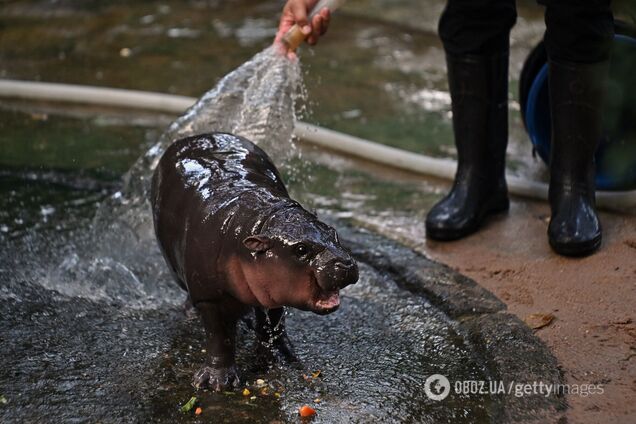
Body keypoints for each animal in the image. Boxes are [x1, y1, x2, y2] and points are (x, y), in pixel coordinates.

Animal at [150, 132, 358, 390]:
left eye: (333, 232)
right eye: (301, 249)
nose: (345, 263)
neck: (259, 222)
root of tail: (197, 136)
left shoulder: (273, 289)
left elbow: (274, 322)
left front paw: (282, 358)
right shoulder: (209, 297)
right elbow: (219, 336)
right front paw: (218, 382)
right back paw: (191, 313)